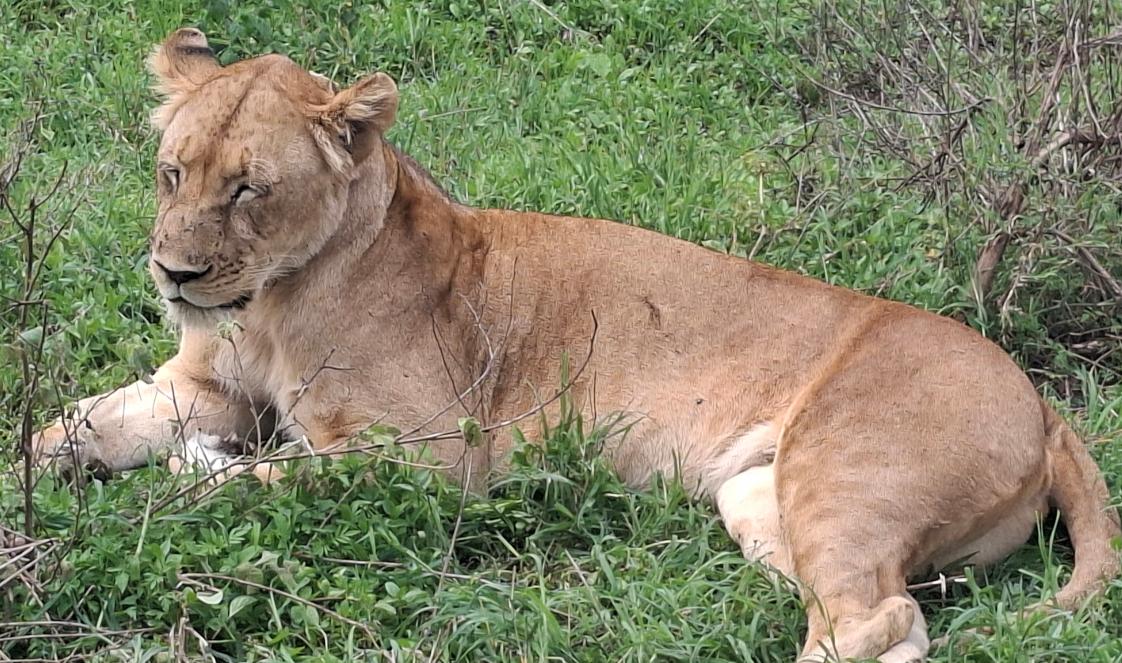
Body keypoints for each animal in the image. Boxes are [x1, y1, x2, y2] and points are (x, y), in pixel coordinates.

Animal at [35, 29, 1120, 662]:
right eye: (172, 172)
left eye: (247, 188)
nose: (173, 274)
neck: (267, 306)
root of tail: (1043, 401)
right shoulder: (204, 382)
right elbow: (86, 421)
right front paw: (45, 469)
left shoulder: (430, 457)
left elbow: (243, 481)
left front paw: (181, 479)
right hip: (758, 498)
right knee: (891, 616)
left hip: (847, 466)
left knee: (877, 621)